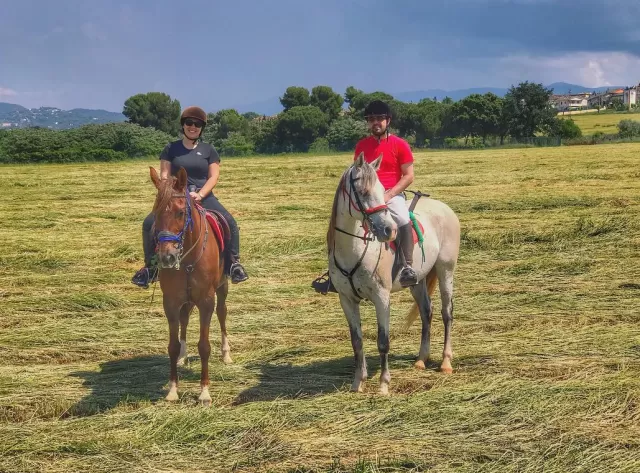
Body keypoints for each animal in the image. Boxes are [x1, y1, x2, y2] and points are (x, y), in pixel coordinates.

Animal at [149, 166, 231, 406]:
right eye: (156, 213)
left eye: (180, 213)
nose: (166, 257)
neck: (186, 259)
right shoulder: (170, 301)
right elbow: (172, 345)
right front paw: (172, 390)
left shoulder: (206, 300)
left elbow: (204, 346)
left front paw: (204, 393)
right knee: (185, 319)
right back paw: (183, 357)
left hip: (222, 288)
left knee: (222, 313)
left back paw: (226, 353)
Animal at [327, 152, 461, 395]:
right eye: (363, 192)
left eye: (382, 189)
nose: (389, 230)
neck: (354, 249)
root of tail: (443, 207)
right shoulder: (346, 299)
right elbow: (357, 341)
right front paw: (358, 382)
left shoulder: (382, 297)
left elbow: (383, 341)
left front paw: (383, 384)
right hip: (417, 281)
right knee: (426, 312)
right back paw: (421, 359)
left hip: (446, 270)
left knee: (447, 313)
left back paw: (446, 362)